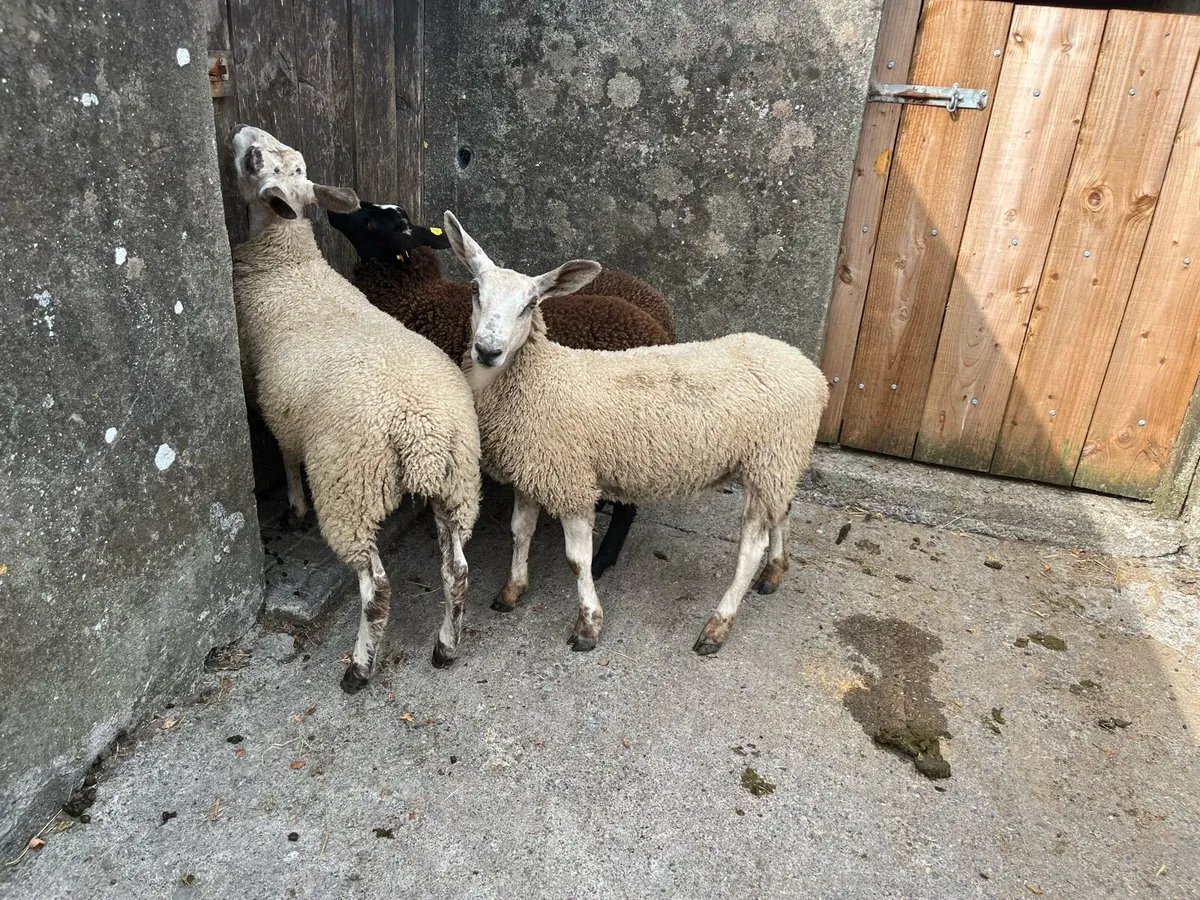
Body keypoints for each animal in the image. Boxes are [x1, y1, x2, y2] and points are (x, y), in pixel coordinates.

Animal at [229, 125, 481, 692]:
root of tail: (423, 435)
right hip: (457, 484)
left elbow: (285, 454)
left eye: (253, 161)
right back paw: (445, 646)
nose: (239, 132)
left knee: (376, 588)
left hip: (351, 489)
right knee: (457, 572)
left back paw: (360, 668)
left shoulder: (263, 390)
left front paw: (295, 508)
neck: (289, 264)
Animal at [325, 200, 674, 581]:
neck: (419, 297)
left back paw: (602, 559)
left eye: (374, 224)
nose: (333, 211)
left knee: (628, 507)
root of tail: (660, 328)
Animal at [442, 210, 828, 655]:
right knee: (783, 509)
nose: (487, 350)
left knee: (750, 548)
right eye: (475, 291)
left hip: (770, 458)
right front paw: (512, 590)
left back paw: (717, 625)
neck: (537, 378)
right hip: (781, 460)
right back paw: (775, 571)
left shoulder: (571, 479)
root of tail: (811, 371)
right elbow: (520, 532)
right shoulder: (533, 467)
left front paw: (588, 625)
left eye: (531, 304)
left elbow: (577, 559)